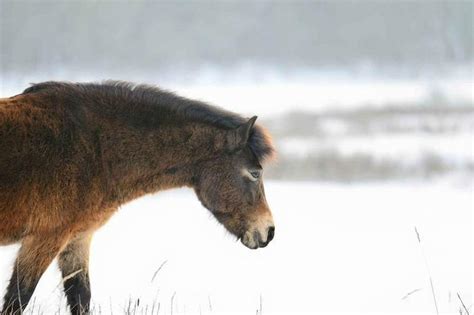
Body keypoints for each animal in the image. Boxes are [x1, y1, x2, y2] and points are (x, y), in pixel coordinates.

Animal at [0, 82, 276, 315]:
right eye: (254, 173)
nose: (269, 231)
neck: (96, 149)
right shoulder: (45, 239)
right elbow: (17, 300)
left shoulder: (77, 240)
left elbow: (81, 298)